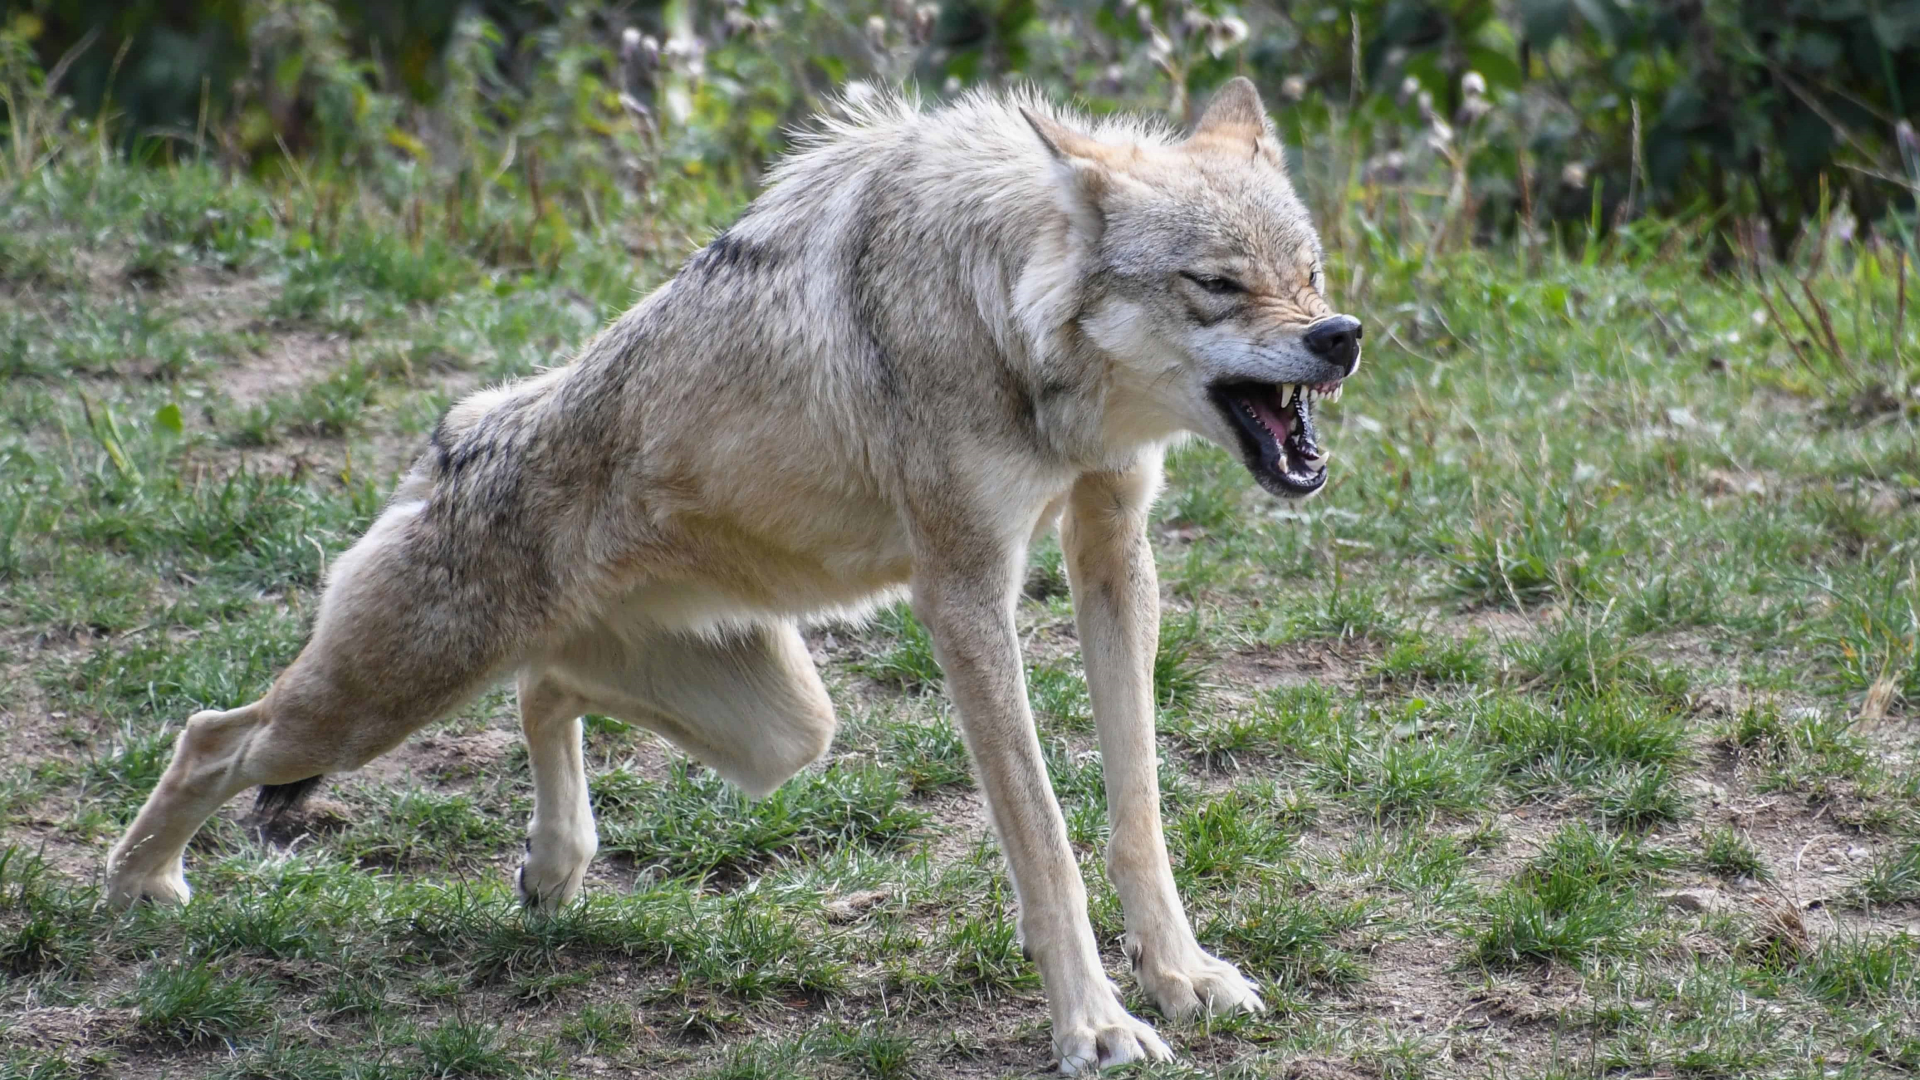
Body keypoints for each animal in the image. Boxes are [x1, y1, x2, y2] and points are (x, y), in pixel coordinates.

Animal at [108, 77, 1367, 1068]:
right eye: (1218, 284)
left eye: (1309, 272)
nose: (1340, 336)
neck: (1003, 312)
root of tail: (451, 435)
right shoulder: (964, 593)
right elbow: (1047, 839)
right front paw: (1096, 1027)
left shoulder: (1113, 549)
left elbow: (1135, 808)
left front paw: (1182, 977)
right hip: (371, 706)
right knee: (212, 735)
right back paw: (137, 890)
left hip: (781, 732)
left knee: (545, 688)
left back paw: (553, 869)